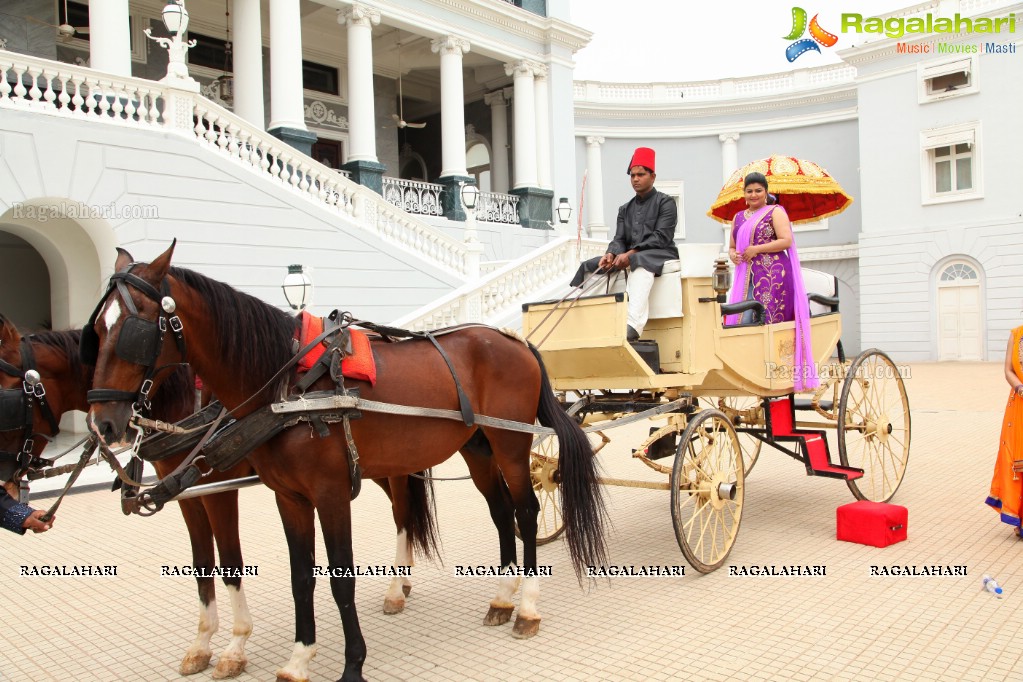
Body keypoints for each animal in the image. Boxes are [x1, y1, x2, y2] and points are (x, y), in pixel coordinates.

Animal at [0, 316, 439, 678]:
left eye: (8, 399)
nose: (6, 477)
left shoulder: (219, 493)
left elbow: (229, 563)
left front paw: (235, 646)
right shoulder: (188, 497)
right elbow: (202, 566)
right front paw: (202, 643)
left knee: (402, 512)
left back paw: (396, 587)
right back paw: (403, 581)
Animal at [83, 245, 601, 682]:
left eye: (134, 329)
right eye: (96, 332)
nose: (102, 423)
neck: (287, 386)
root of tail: (514, 339)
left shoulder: (327, 494)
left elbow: (339, 579)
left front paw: (352, 665)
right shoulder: (288, 498)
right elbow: (299, 578)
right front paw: (299, 657)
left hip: (511, 444)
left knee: (525, 511)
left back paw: (527, 606)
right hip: (476, 448)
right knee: (499, 512)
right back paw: (502, 597)